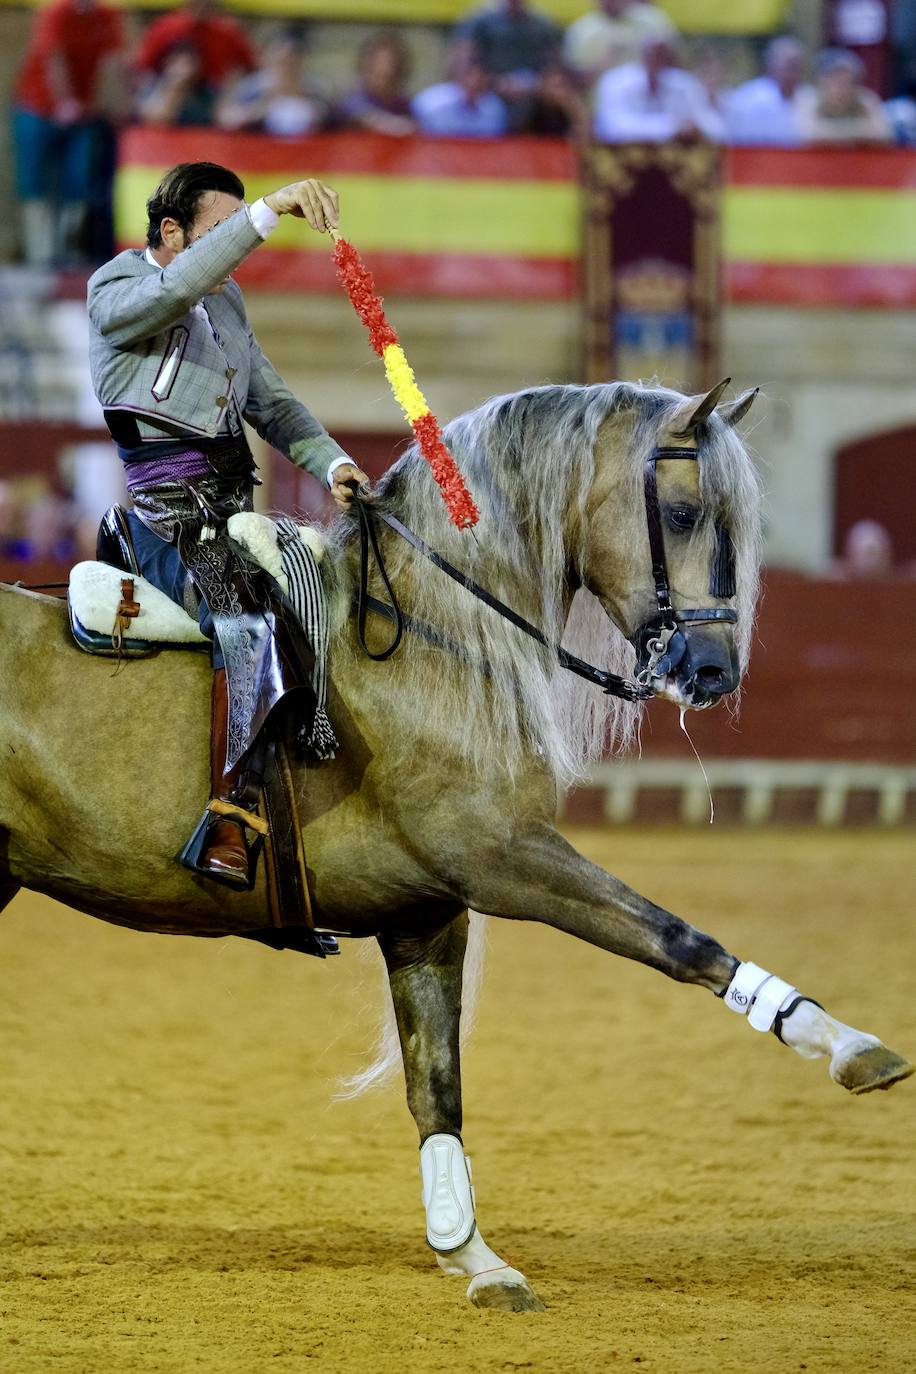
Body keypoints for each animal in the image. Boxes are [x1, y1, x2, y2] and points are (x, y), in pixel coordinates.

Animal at [1, 379, 911, 1308]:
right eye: (686, 512)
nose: (715, 670)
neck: (431, 642)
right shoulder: (502, 857)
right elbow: (679, 940)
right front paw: (844, 1045)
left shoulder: (427, 914)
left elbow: (435, 1085)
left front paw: (470, 1253)